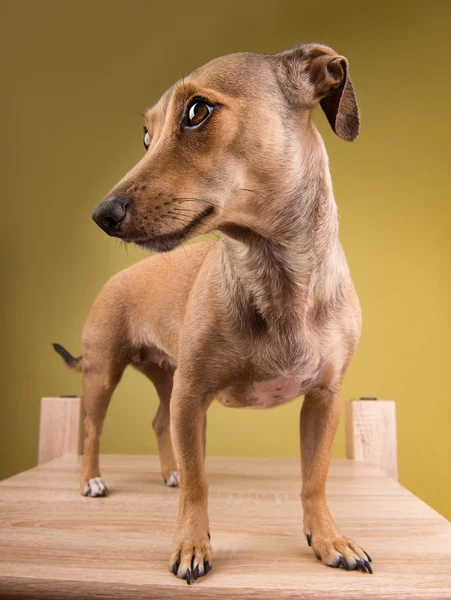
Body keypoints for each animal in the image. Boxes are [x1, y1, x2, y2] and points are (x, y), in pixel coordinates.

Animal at [57, 43, 374, 584]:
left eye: (197, 111)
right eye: (147, 135)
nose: (102, 215)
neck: (273, 275)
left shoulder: (324, 401)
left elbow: (314, 479)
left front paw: (329, 539)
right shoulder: (193, 398)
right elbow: (199, 484)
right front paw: (191, 545)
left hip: (167, 379)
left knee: (159, 423)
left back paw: (168, 471)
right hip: (104, 374)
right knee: (92, 429)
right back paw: (92, 480)